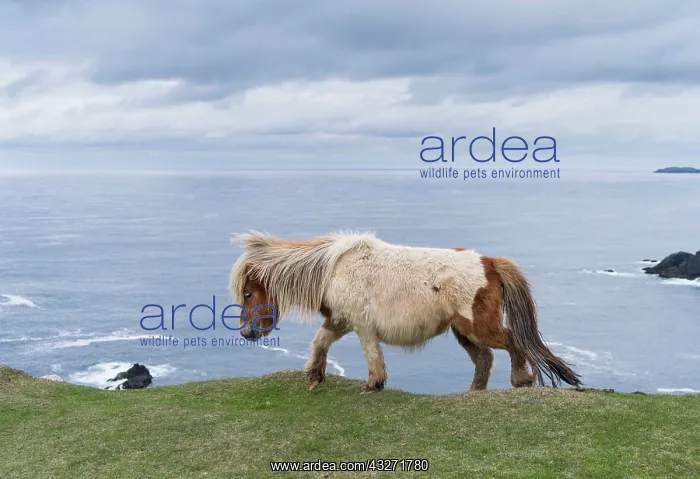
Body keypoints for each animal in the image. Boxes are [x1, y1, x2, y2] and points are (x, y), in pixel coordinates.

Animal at [229, 230, 582, 394]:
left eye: (248, 293)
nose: (247, 333)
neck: (333, 269)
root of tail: (490, 262)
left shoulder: (362, 326)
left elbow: (371, 355)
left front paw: (373, 385)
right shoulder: (340, 321)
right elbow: (319, 341)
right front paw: (315, 376)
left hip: (478, 326)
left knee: (511, 341)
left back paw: (521, 379)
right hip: (463, 331)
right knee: (485, 358)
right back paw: (473, 393)